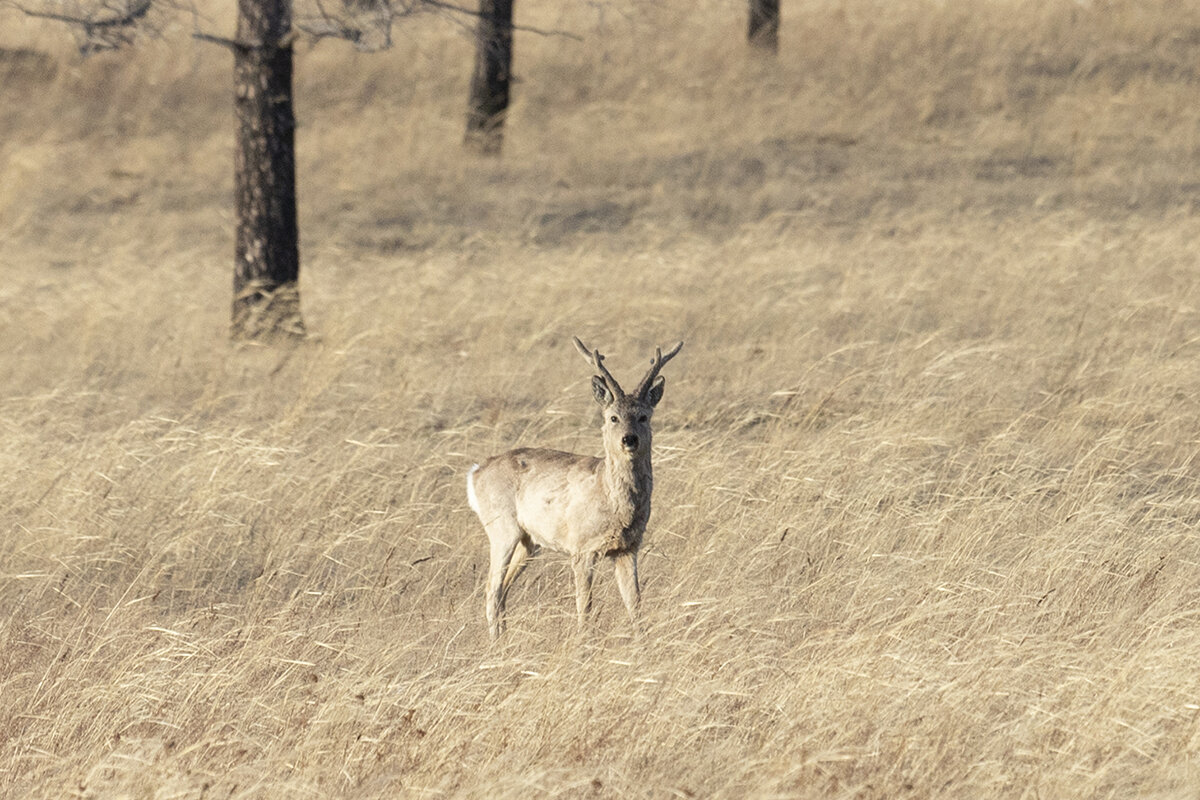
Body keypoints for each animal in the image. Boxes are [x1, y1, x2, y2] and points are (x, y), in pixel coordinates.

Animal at [465, 335, 686, 638]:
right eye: (612, 417)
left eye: (644, 416)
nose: (629, 439)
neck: (612, 500)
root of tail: (476, 473)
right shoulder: (581, 548)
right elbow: (585, 607)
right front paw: (583, 642)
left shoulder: (628, 548)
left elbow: (635, 605)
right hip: (501, 528)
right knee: (491, 587)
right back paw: (495, 642)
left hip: (529, 541)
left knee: (503, 588)